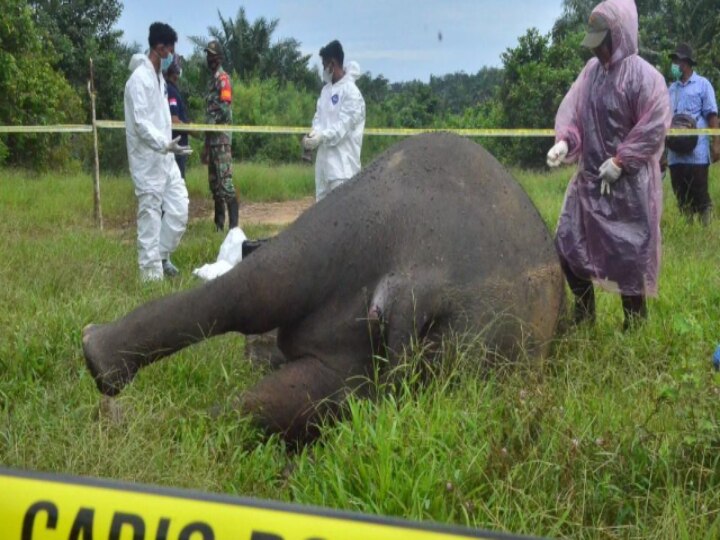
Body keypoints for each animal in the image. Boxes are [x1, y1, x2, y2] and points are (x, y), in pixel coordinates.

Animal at [84, 133, 564, 440]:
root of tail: (426, 282)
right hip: (368, 219)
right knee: (265, 293)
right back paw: (107, 385)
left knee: (267, 331)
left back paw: (115, 401)